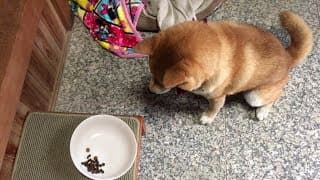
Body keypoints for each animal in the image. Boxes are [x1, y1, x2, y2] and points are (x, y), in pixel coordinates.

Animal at [134, 10, 312, 124]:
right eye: (152, 75)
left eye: (161, 82)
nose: (150, 90)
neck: (217, 49)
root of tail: (288, 56)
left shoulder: (217, 98)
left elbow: (213, 109)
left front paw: (207, 117)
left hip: (255, 96)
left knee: (275, 97)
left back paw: (263, 111)